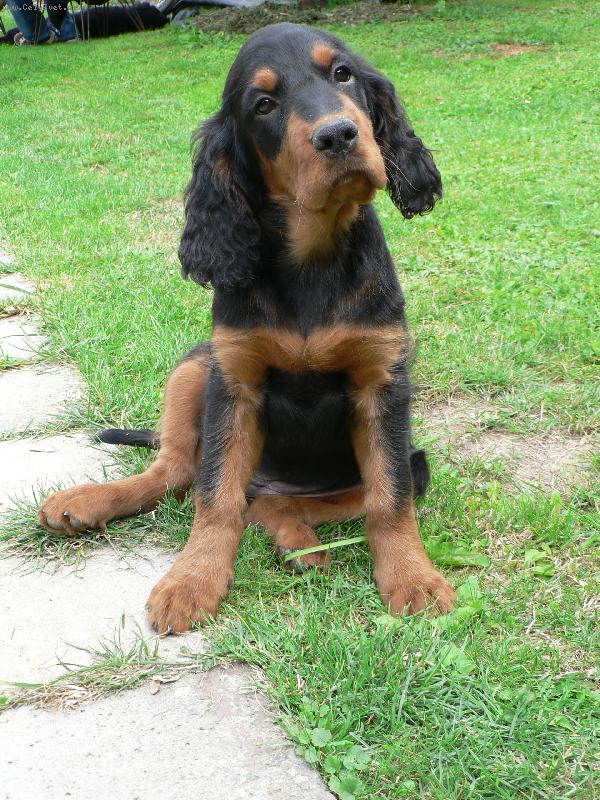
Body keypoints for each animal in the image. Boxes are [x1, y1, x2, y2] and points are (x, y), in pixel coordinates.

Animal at [38, 23, 455, 633]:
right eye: (263, 105)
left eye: (342, 74)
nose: (339, 135)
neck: (310, 255)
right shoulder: (233, 380)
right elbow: (215, 496)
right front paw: (192, 580)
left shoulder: (382, 383)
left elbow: (389, 497)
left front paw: (413, 577)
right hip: (197, 364)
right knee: (181, 474)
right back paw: (91, 499)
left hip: (406, 460)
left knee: (274, 501)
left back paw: (296, 541)